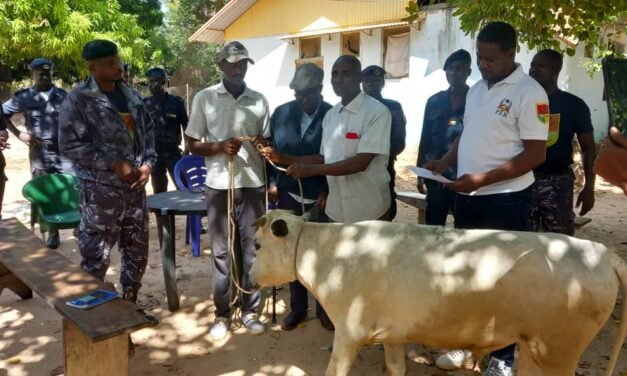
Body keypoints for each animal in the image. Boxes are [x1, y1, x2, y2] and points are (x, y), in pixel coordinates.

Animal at [250, 210, 627, 376]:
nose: (250, 278)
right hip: (537, 350)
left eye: (256, 244)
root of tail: (603, 253)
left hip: (558, 352)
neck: (330, 251)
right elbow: (396, 368)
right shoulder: (392, 333)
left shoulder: (349, 333)